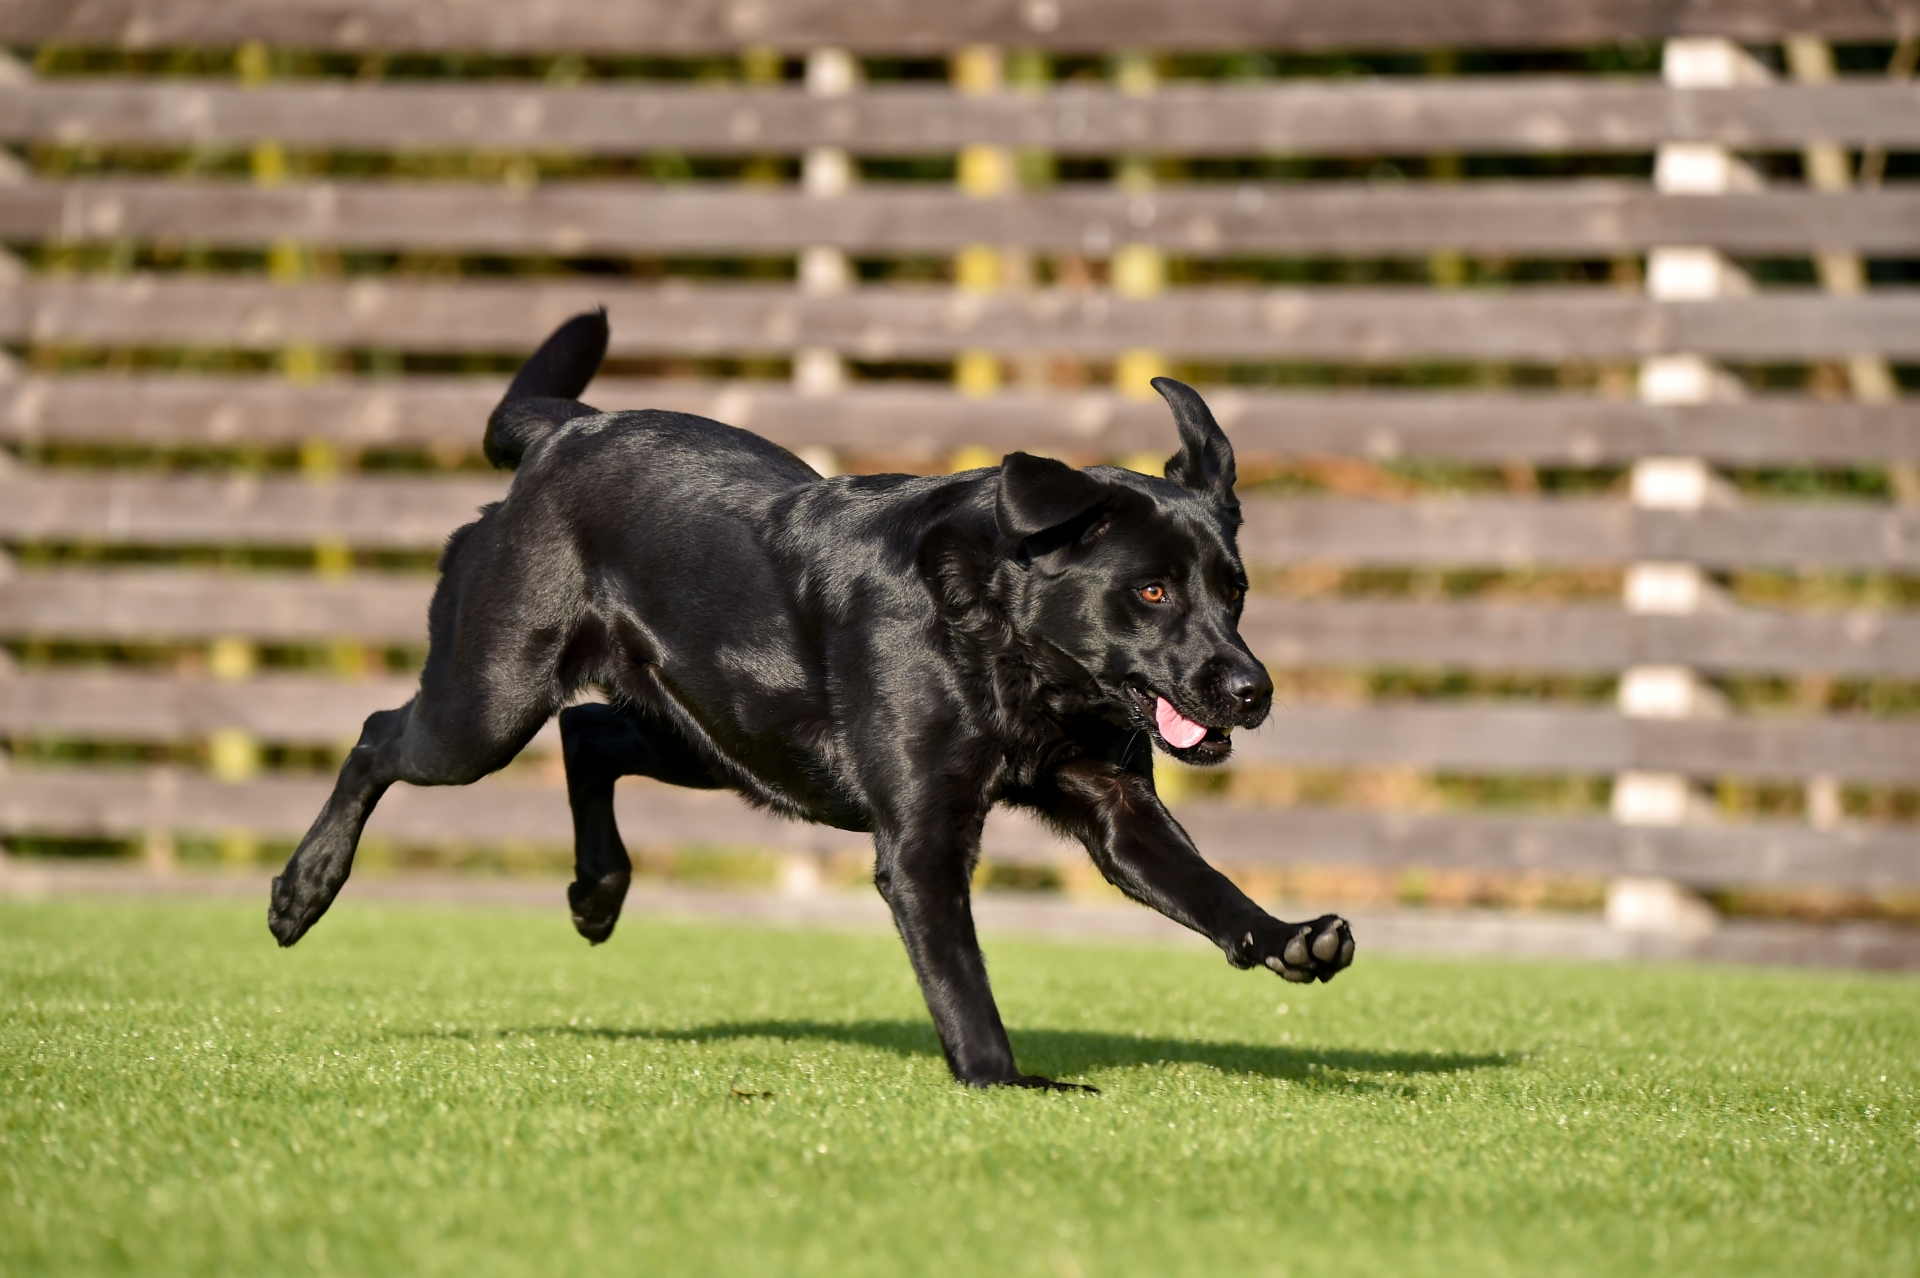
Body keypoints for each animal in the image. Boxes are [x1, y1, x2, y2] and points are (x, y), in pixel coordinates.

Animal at [266, 308, 1351, 1082]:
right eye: (1153, 591)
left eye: (1235, 591)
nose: (1251, 690)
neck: (1010, 659)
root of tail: (565, 432)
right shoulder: (920, 844)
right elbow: (961, 977)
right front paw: (1004, 1081)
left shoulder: (1116, 805)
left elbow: (1206, 889)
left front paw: (1292, 940)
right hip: (488, 707)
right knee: (379, 735)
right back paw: (300, 892)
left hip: (722, 740)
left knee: (588, 735)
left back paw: (597, 894)